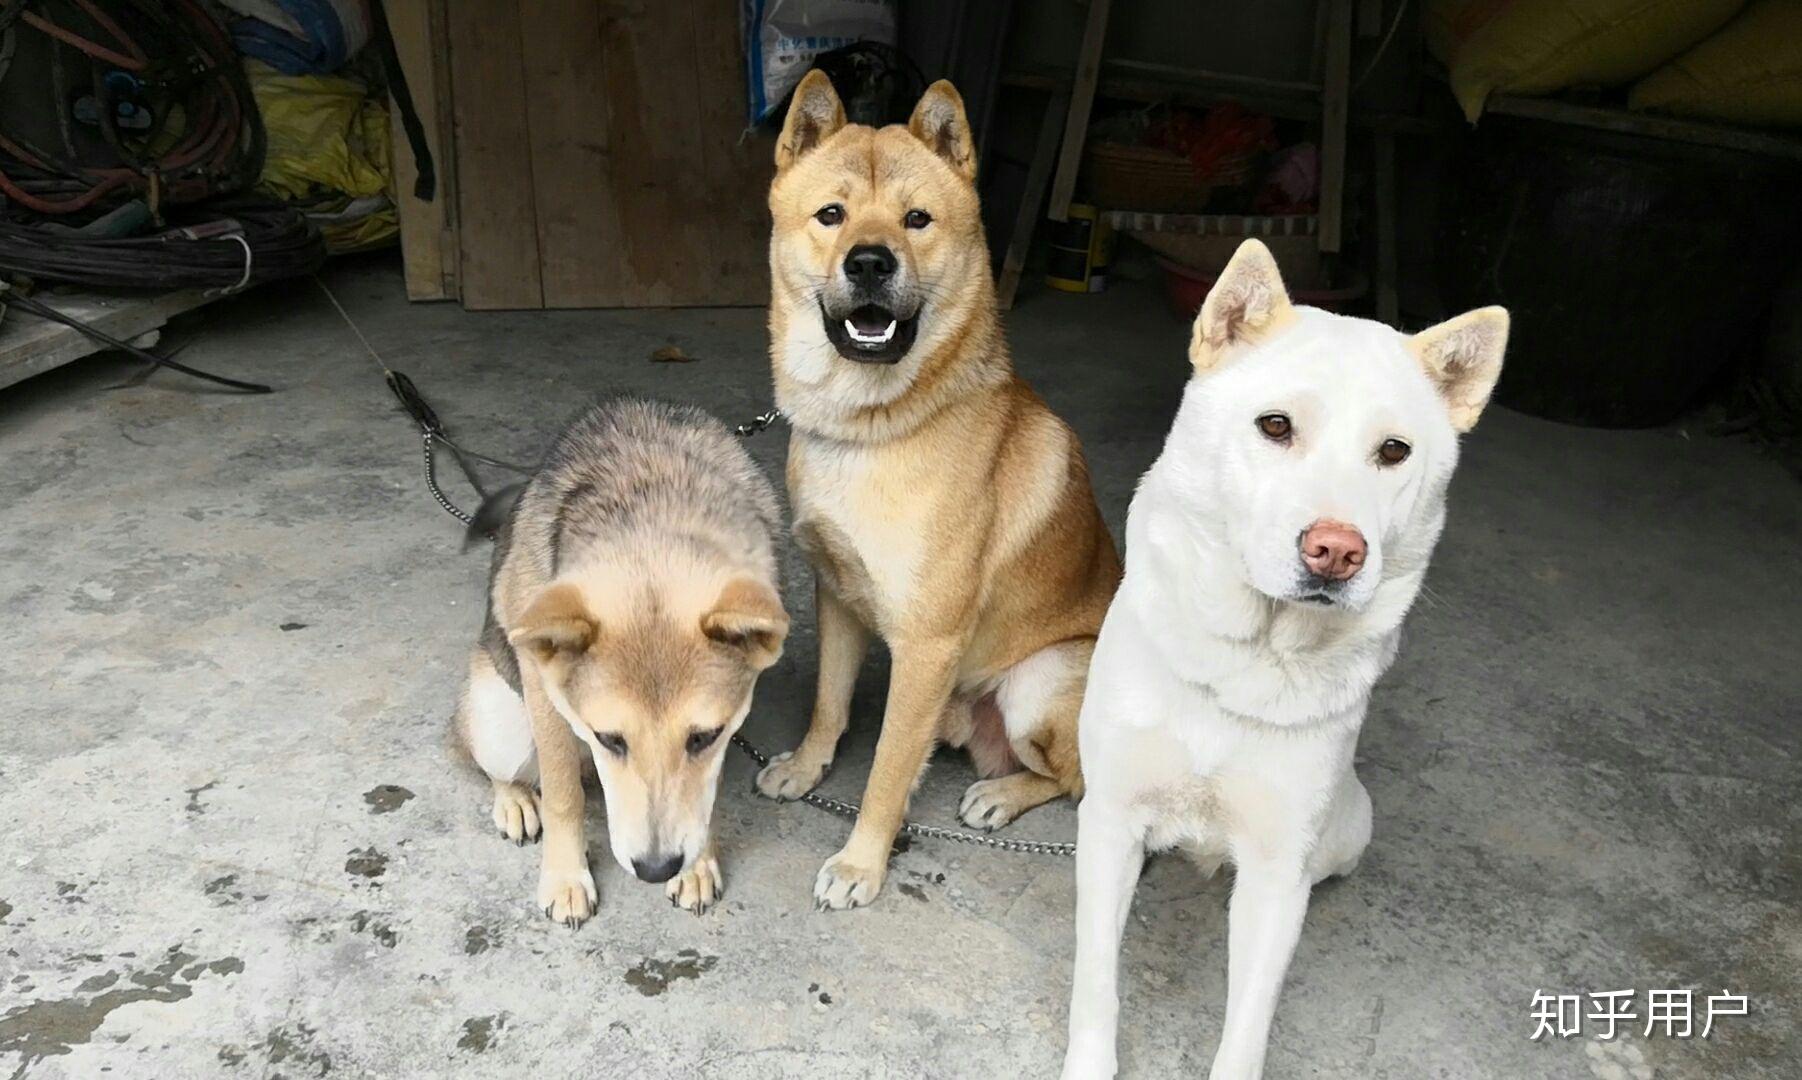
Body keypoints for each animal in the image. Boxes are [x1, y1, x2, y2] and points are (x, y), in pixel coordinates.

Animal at [454, 402, 785, 923]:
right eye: (609, 738)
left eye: (703, 737)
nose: (656, 869)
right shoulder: (544, 695)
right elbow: (563, 793)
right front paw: (566, 877)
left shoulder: (729, 722)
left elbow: (705, 797)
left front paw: (698, 865)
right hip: (498, 720)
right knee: (492, 765)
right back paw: (515, 801)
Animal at [749, 71, 1117, 908]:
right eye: (832, 215)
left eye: (917, 220)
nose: (870, 263)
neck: (873, 429)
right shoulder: (837, 594)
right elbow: (828, 704)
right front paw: (806, 767)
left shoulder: (926, 644)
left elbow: (887, 772)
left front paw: (861, 862)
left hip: (1042, 678)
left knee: (1075, 781)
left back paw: (1002, 796)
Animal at [1059, 243, 1513, 1080]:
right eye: (1276, 426)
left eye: (1393, 451)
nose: (1336, 551)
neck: (1249, 659)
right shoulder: (1109, 822)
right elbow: (1097, 985)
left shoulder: (1275, 876)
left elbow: (1248, 1024)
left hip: (1349, 825)